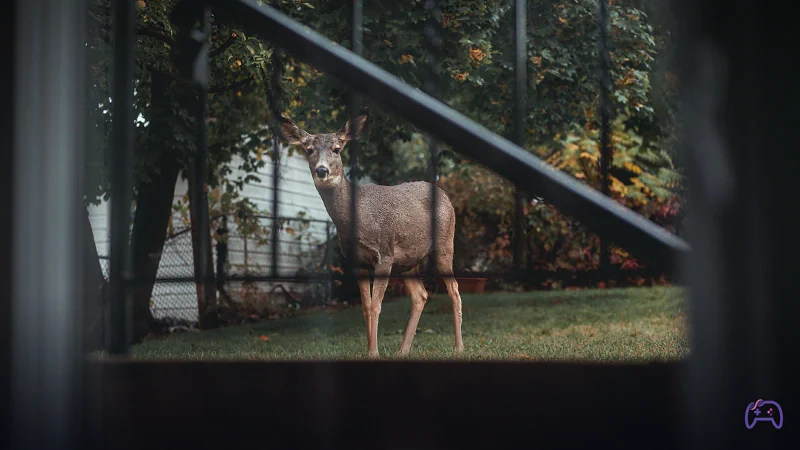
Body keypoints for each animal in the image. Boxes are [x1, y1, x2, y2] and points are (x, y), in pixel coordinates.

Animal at [279, 112, 464, 358]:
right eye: (309, 149)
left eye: (337, 148)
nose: (322, 170)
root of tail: (444, 195)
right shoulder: (357, 262)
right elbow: (366, 307)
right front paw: (370, 350)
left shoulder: (384, 253)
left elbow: (376, 305)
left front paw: (374, 353)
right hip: (407, 261)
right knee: (421, 295)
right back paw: (403, 351)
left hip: (444, 243)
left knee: (454, 289)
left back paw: (458, 347)